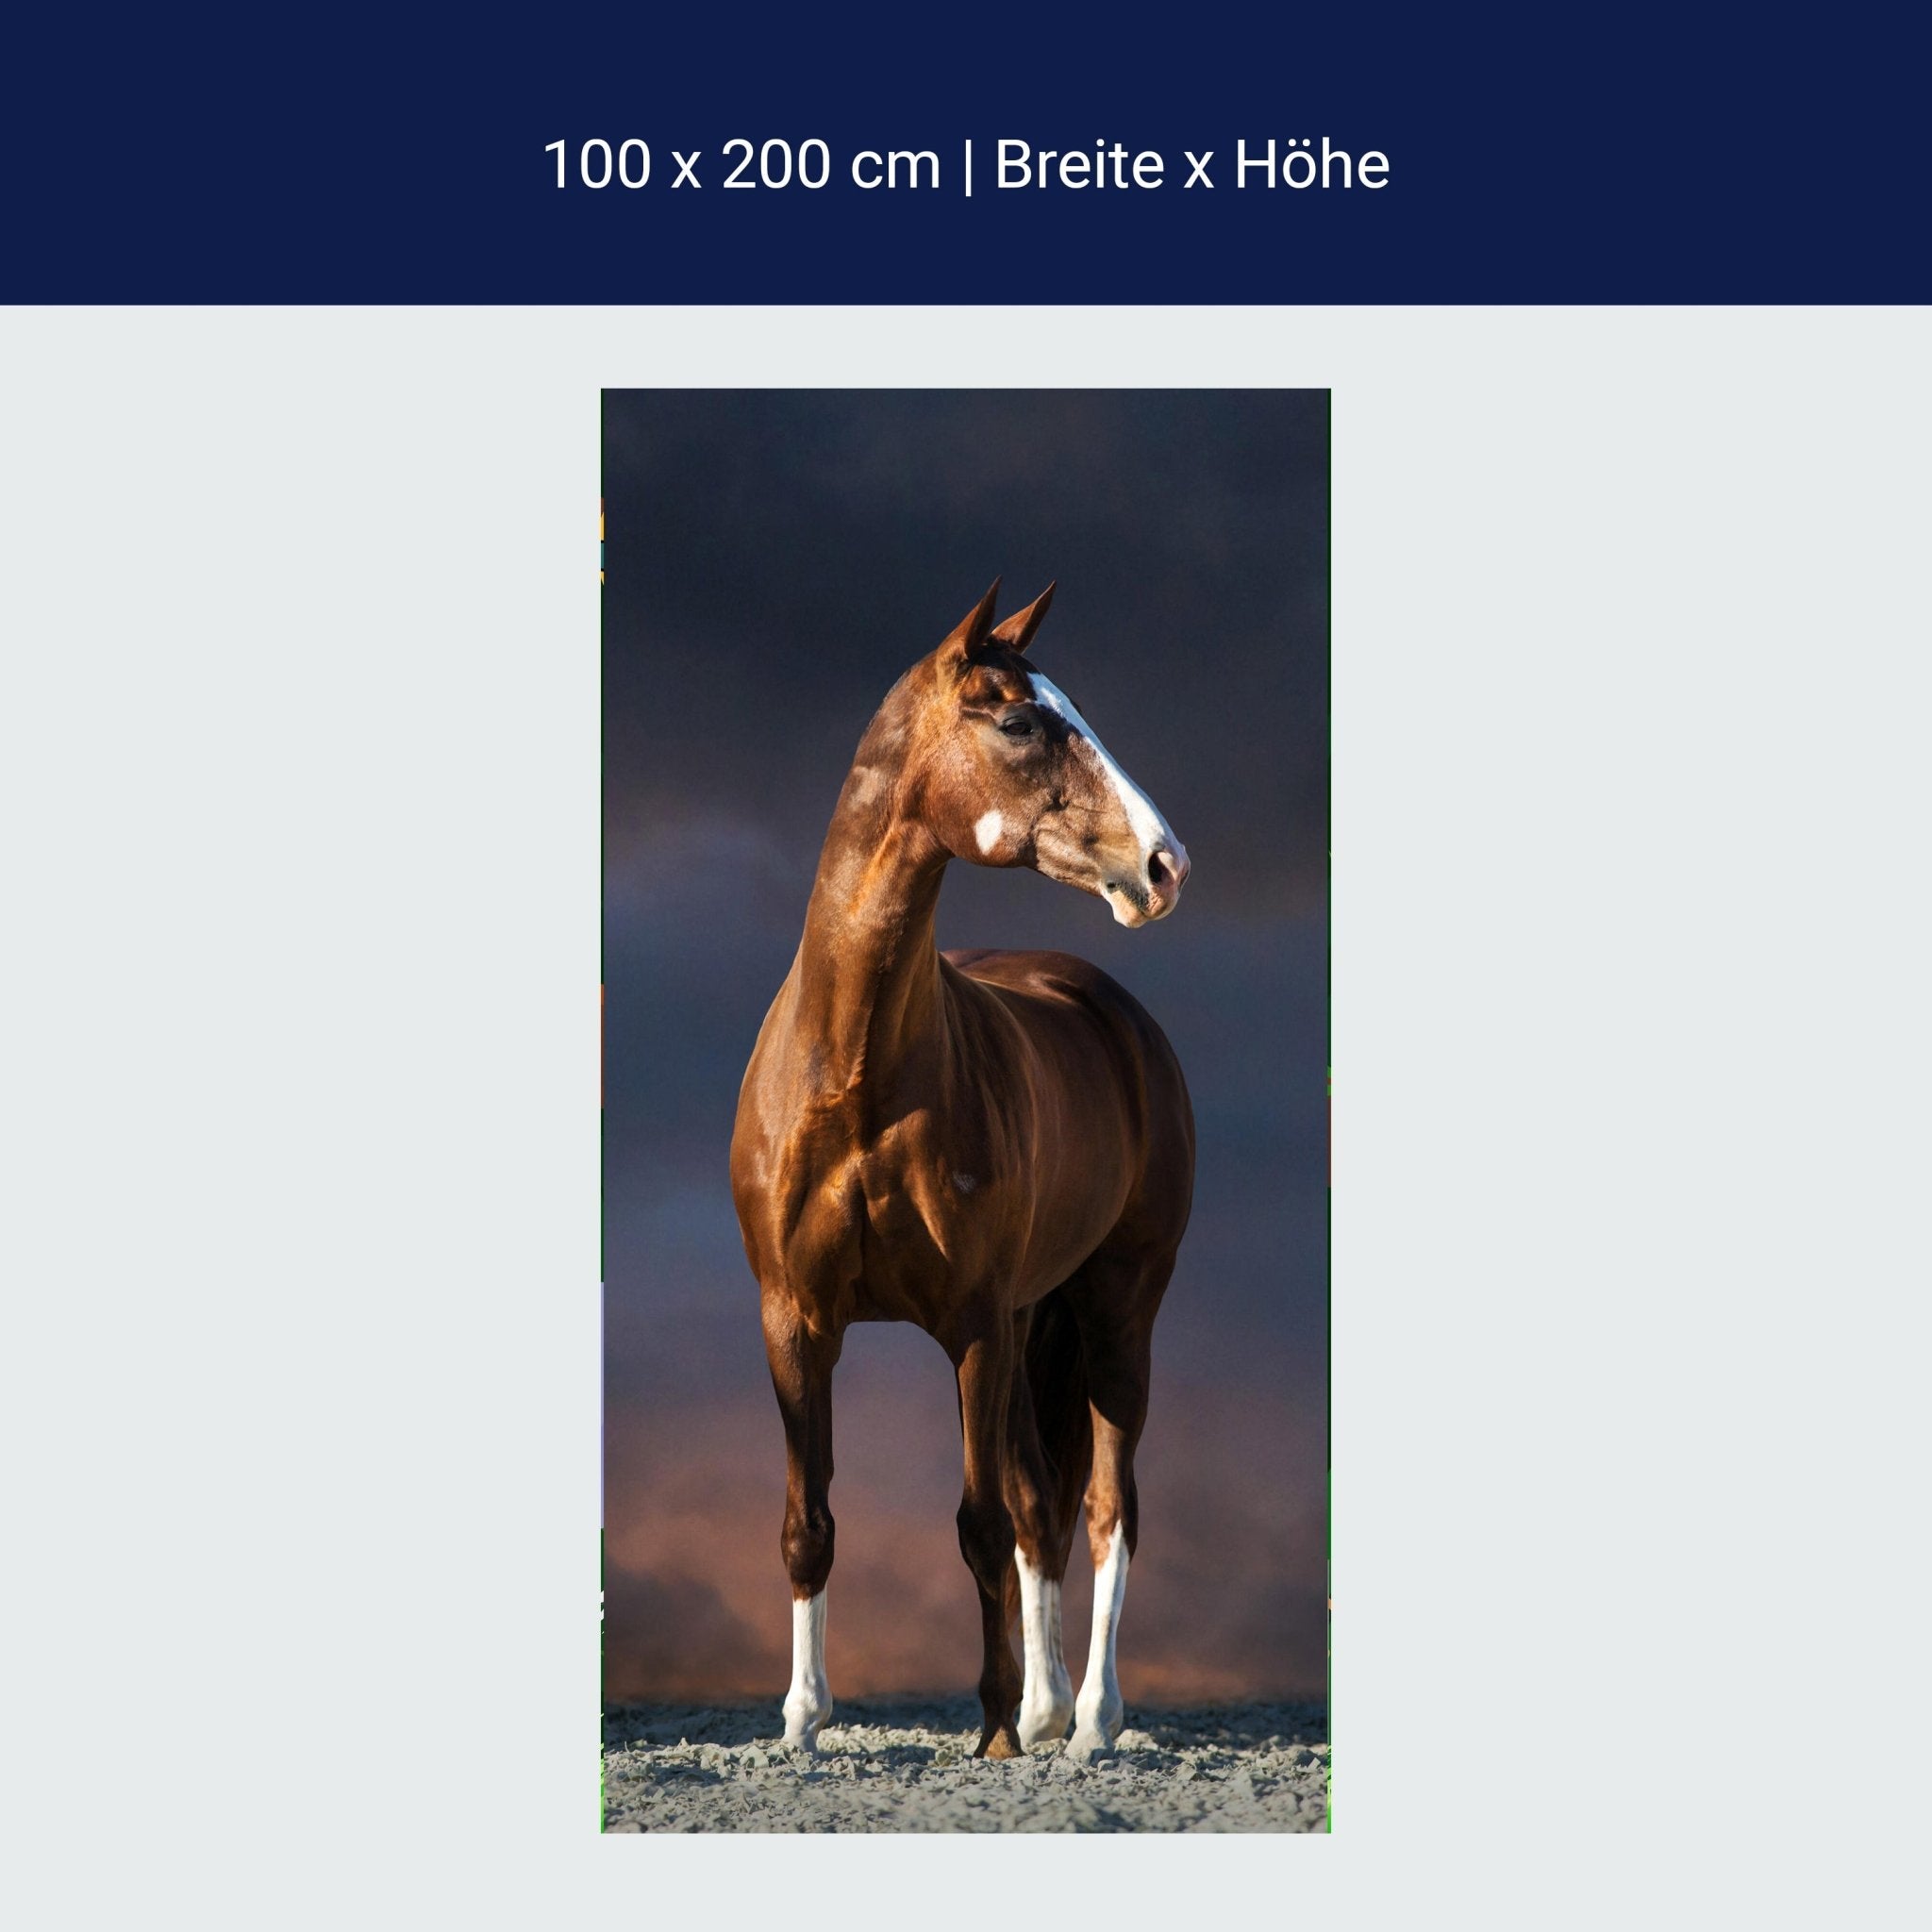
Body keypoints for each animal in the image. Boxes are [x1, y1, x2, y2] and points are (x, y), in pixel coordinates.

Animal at [728, 580, 1196, 1762]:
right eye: (1020, 720)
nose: (1164, 865)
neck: (855, 1074)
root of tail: (1110, 1007)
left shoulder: (973, 1324)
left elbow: (980, 1522)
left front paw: (989, 1732)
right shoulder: (793, 1320)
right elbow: (810, 1521)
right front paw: (803, 1720)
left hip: (1116, 1312)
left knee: (1104, 1505)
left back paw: (1087, 1720)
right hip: (1040, 1319)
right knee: (1042, 1500)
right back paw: (1045, 1705)